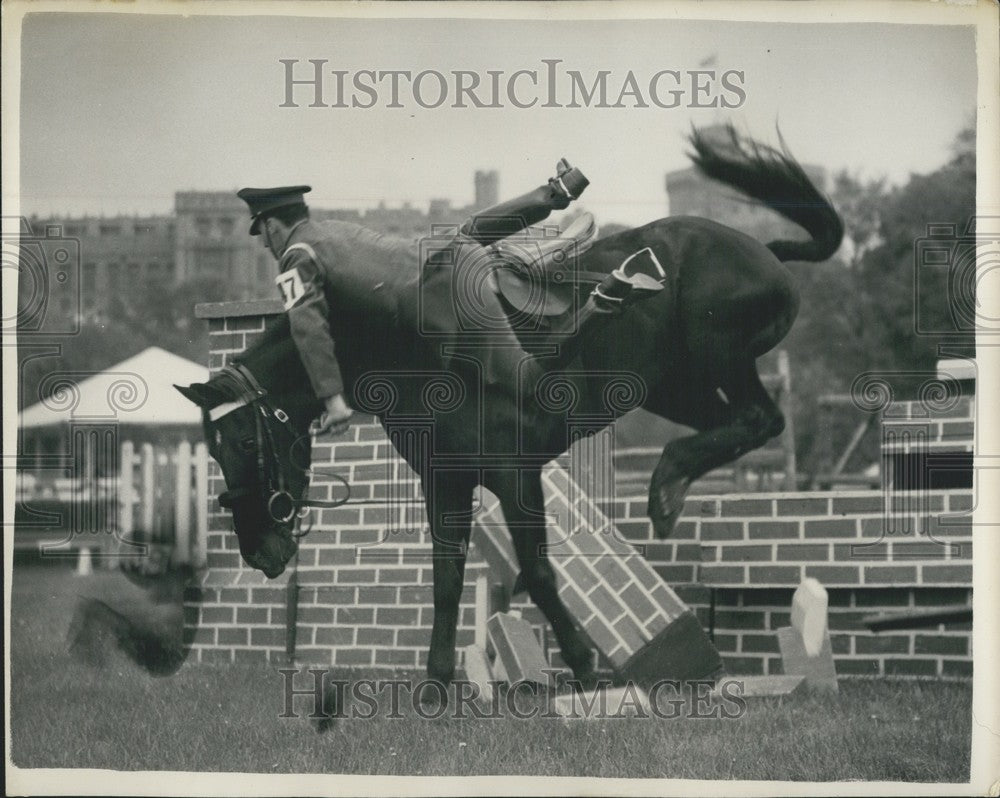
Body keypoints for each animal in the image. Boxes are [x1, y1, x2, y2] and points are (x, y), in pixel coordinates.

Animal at [174, 123, 844, 700]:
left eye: (240, 442)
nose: (260, 554)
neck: (394, 348)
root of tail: (760, 246)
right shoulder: (445, 481)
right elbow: (447, 581)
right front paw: (436, 684)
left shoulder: (514, 473)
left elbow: (540, 574)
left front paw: (582, 666)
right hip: (676, 388)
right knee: (731, 423)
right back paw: (668, 479)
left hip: (717, 352)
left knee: (761, 419)